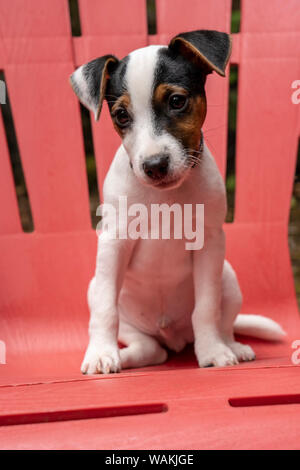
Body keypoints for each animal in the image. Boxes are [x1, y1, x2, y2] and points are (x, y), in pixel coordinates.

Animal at [70, 29, 286, 374]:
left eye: (176, 101)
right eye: (121, 115)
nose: (155, 165)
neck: (165, 198)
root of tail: (174, 336)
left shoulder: (209, 244)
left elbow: (207, 308)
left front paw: (212, 351)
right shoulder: (113, 243)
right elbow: (105, 309)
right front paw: (101, 353)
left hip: (228, 277)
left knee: (224, 322)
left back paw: (231, 346)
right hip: (105, 295)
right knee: (151, 349)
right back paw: (125, 356)